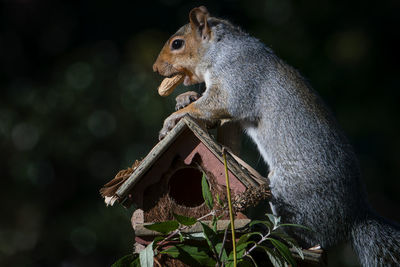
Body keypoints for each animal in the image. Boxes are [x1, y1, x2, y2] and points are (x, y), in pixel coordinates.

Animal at [152, 6, 398, 266]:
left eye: (177, 43)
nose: (156, 68)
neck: (220, 49)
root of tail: (356, 215)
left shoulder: (237, 78)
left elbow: (218, 104)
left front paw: (174, 117)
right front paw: (185, 98)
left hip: (292, 196)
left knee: (314, 239)